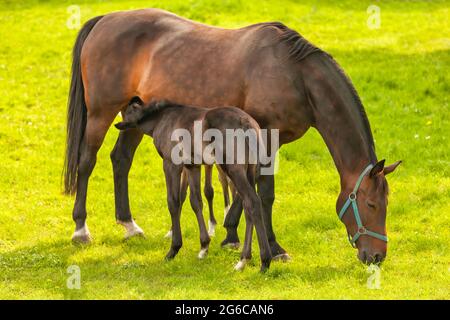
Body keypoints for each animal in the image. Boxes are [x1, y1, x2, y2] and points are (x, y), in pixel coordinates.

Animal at [115, 99, 270, 272]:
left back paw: (263, 261)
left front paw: (173, 249)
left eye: (127, 111)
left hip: (233, 168)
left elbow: (173, 202)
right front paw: (204, 247)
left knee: (252, 201)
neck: (162, 118)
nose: (117, 124)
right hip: (249, 170)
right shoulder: (192, 166)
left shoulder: (171, 164)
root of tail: (246, 122)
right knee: (247, 206)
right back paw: (243, 260)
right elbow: (196, 201)